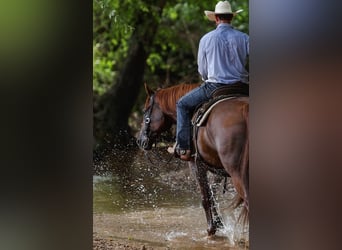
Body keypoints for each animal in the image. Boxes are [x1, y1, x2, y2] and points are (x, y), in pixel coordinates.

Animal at [136, 82, 248, 236]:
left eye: (145, 111)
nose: (140, 140)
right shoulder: (217, 168)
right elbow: (212, 194)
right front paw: (219, 224)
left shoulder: (196, 164)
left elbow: (205, 198)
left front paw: (211, 229)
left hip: (237, 172)